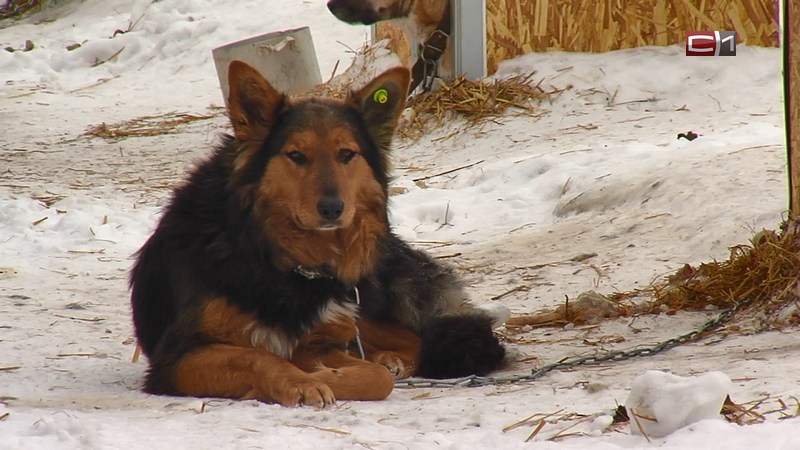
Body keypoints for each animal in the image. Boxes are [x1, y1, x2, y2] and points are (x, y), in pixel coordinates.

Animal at [128, 60, 504, 408]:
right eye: (296, 155)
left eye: (347, 154)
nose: (333, 209)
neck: (272, 255)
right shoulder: (177, 356)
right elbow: (258, 355)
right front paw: (301, 382)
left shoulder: (322, 338)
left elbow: (375, 377)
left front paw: (329, 375)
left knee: (414, 339)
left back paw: (391, 359)